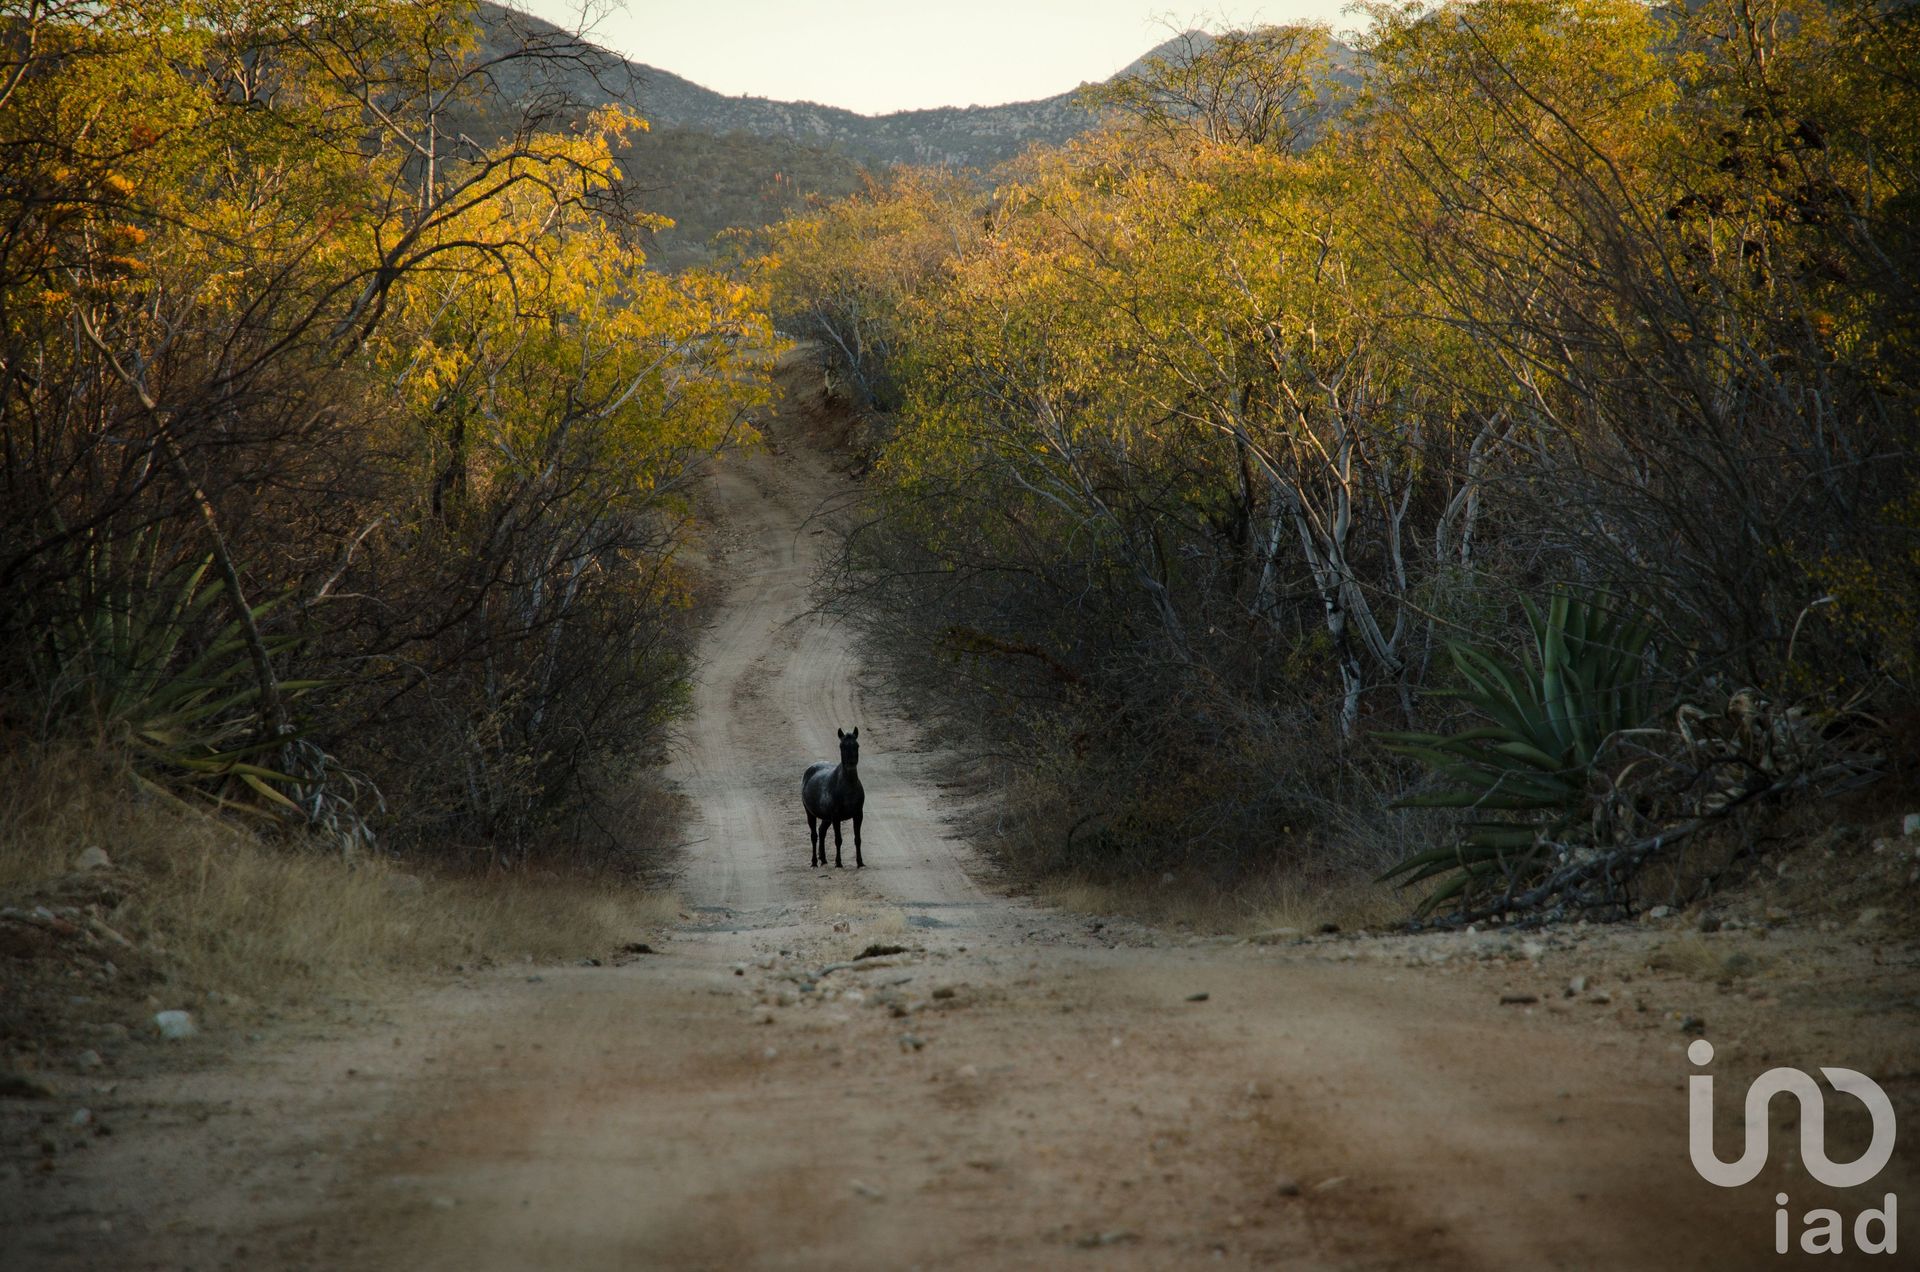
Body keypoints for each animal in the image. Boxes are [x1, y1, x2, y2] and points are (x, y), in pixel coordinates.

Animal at [802, 733, 864, 872]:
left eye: (857, 745)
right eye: (841, 746)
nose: (851, 763)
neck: (848, 788)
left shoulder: (858, 815)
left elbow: (857, 839)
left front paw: (860, 862)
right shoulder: (836, 817)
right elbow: (838, 840)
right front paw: (838, 863)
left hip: (827, 818)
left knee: (821, 831)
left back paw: (824, 859)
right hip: (810, 814)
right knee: (814, 836)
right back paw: (814, 862)